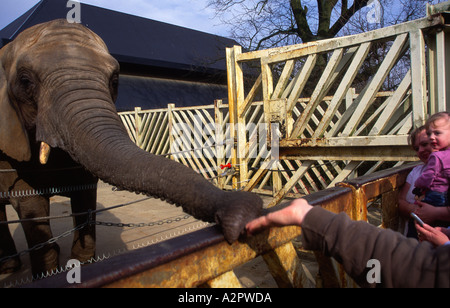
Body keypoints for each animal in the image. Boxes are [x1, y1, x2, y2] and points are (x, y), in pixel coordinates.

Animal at [0, 19, 264, 276]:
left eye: (114, 80)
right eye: (25, 81)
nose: (246, 208)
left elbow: (86, 196)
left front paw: (82, 267)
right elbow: (31, 203)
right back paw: (10, 267)